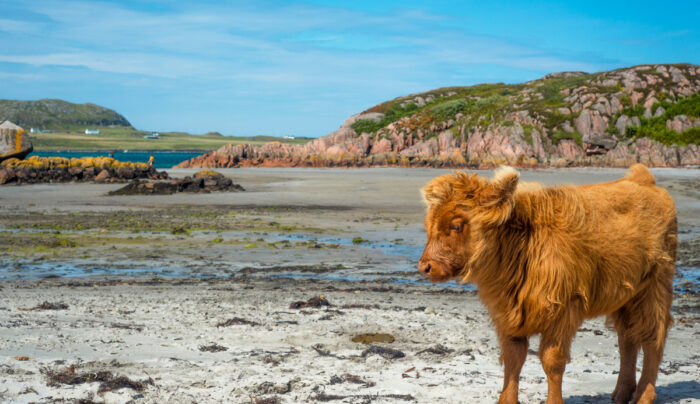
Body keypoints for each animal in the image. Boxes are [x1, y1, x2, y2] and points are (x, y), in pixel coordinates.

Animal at [418, 165, 676, 404]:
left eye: (456, 225)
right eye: (429, 225)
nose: (425, 266)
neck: (523, 243)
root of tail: (642, 179)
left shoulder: (563, 311)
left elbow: (552, 361)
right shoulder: (508, 315)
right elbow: (513, 358)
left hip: (654, 289)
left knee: (653, 339)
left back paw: (643, 396)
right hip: (627, 297)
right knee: (627, 338)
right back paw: (621, 393)